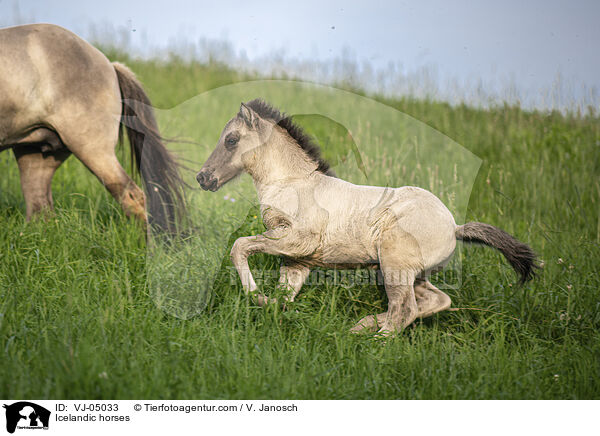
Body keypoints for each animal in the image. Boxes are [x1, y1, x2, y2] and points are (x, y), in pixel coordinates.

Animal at [197, 99, 540, 336]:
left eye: (231, 139)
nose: (203, 178)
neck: (293, 183)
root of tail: (455, 226)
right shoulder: (298, 260)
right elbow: (285, 294)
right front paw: (269, 306)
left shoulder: (296, 241)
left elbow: (239, 246)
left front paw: (254, 295)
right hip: (414, 274)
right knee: (434, 302)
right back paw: (361, 326)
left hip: (394, 267)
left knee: (405, 308)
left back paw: (374, 341)